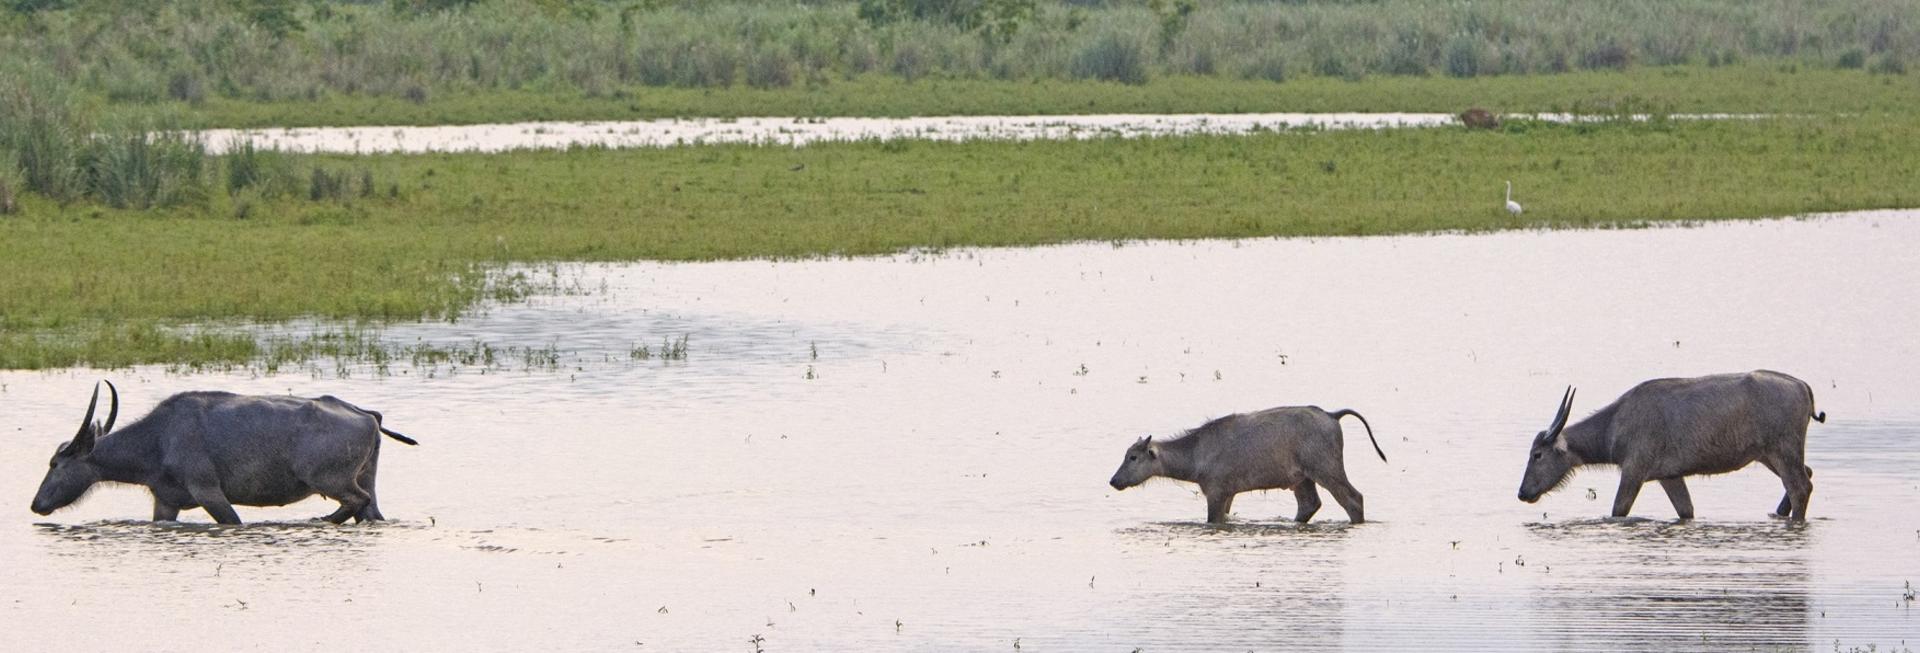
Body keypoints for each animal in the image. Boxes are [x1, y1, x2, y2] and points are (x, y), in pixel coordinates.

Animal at [26, 382, 418, 526]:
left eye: (55, 463)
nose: (36, 504)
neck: (159, 437)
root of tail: (366, 415)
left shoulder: (209, 492)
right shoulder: (166, 503)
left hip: (332, 481)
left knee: (355, 501)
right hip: (365, 483)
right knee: (370, 510)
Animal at [1105, 405, 1390, 522]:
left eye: (1133, 457)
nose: (1114, 480)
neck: (1196, 454)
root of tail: (1332, 415)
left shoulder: (1216, 492)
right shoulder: (1229, 495)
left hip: (1326, 470)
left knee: (1354, 499)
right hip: (1302, 479)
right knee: (1309, 505)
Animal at [1520, 370, 1820, 522]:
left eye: (1537, 454)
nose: (1522, 493)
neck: (1613, 427)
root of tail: (1803, 386)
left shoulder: (1634, 471)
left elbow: (1618, 510)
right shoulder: (1670, 476)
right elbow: (1686, 511)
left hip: (1782, 451)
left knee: (1800, 486)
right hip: (1768, 455)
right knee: (1808, 473)